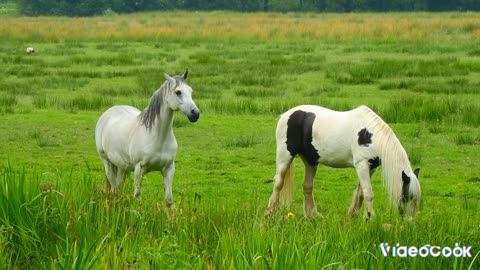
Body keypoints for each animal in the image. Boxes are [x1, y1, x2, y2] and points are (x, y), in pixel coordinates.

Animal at [94, 70, 200, 209]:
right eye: (178, 92)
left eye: (190, 91)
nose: (195, 113)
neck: (158, 137)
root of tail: (108, 112)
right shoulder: (139, 169)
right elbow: (137, 196)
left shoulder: (169, 169)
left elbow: (169, 201)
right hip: (108, 163)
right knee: (113, 189)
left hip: (123, 167)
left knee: (118, 189)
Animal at [266, 104, 420, 219]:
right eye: (407, 196)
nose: (409, 222)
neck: (370, 134)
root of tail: (286, 115)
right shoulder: (361, 165)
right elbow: (368, 193)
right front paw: (371, 218)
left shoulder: (371, 167)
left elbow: (360, 193)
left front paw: (355, 216)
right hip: (285, 155)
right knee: (278, 182)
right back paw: (269, 213)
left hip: (310, 161)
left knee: (307, 186)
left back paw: (313, 215)